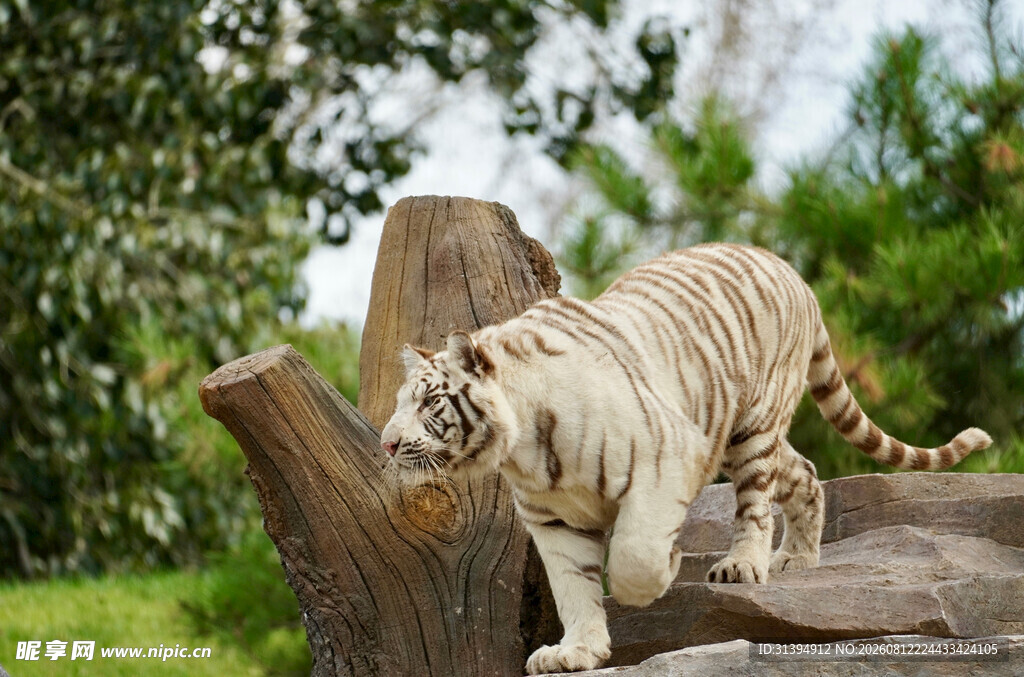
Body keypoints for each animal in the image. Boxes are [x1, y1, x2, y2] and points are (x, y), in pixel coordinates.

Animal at [379, 242, 992, 675]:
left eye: (430, 401)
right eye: (401, 402)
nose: (386, 443)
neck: (522, 449)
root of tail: (792, 271)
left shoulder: (665, 458)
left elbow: (632, 556)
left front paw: (664, 572)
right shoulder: (551, 519)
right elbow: (573, 587)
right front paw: (576, 652)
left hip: (750, 428)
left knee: (755, 503)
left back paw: (745, 565)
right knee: (806, 473)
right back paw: (798, 558)